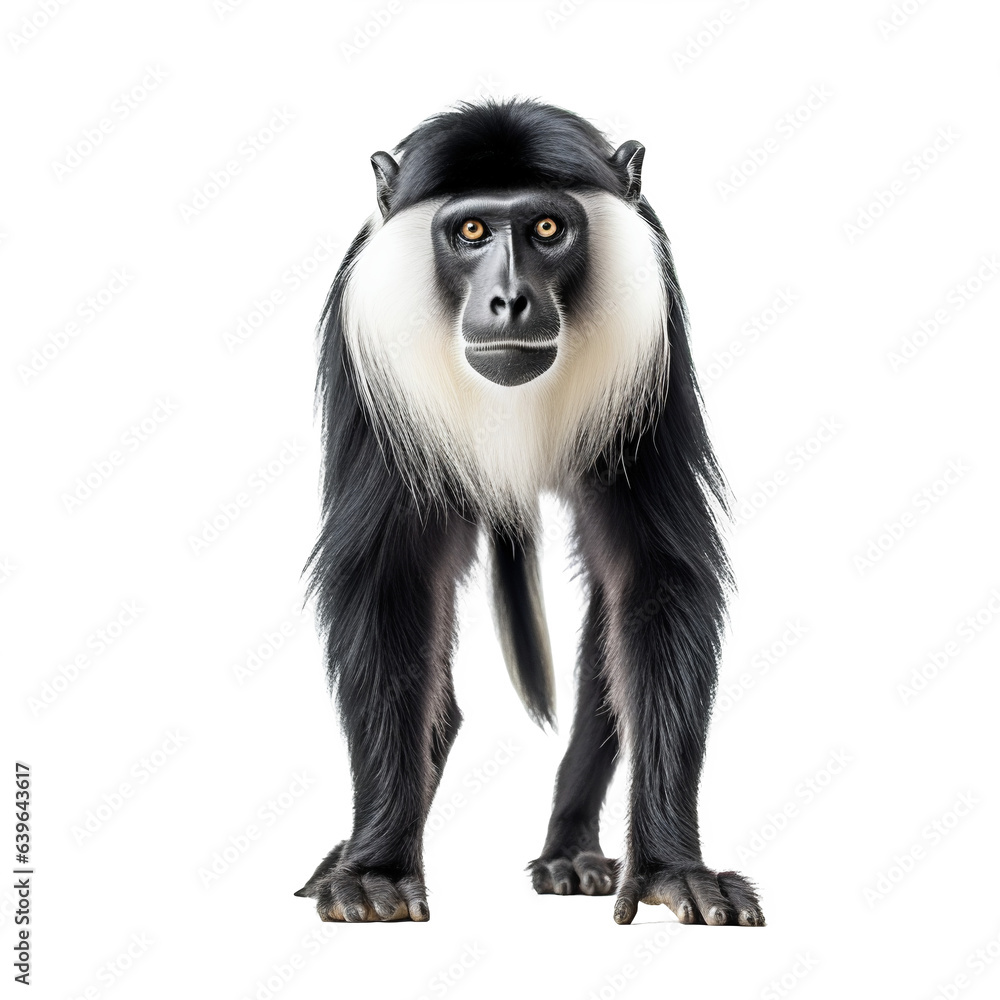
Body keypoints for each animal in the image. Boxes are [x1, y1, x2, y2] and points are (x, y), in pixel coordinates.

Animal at [294, 99, 764, 927]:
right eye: (473, 231)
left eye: (547, 228)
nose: (509, 300)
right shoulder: (376, 363)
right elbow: (389, 579)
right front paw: (373, 869)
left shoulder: (650, 345)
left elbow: (654, 575)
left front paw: (672, 867)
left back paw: (569, 853)